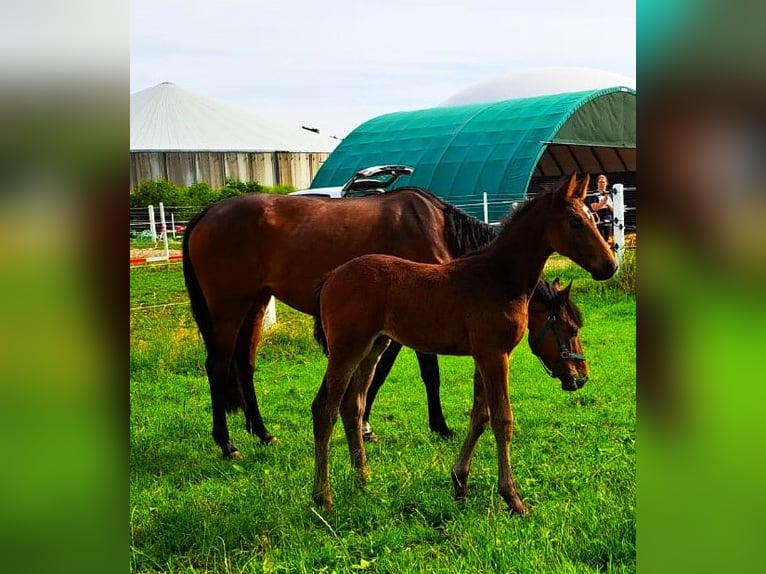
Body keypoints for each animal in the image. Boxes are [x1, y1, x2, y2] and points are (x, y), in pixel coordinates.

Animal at [312, 174, 616, 512]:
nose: (610, 265)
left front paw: (460, 483)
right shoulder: (495, 355)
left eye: (592, 217)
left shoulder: (483, 356)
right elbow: (502, 419)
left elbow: (480, 416)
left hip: (373, 347)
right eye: (576, 221)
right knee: (325, 408)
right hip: (346, 349)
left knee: (353, 405)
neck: (498, 278)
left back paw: (362, 480)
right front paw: (512, 498)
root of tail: (332, 276)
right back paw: (323, 496)